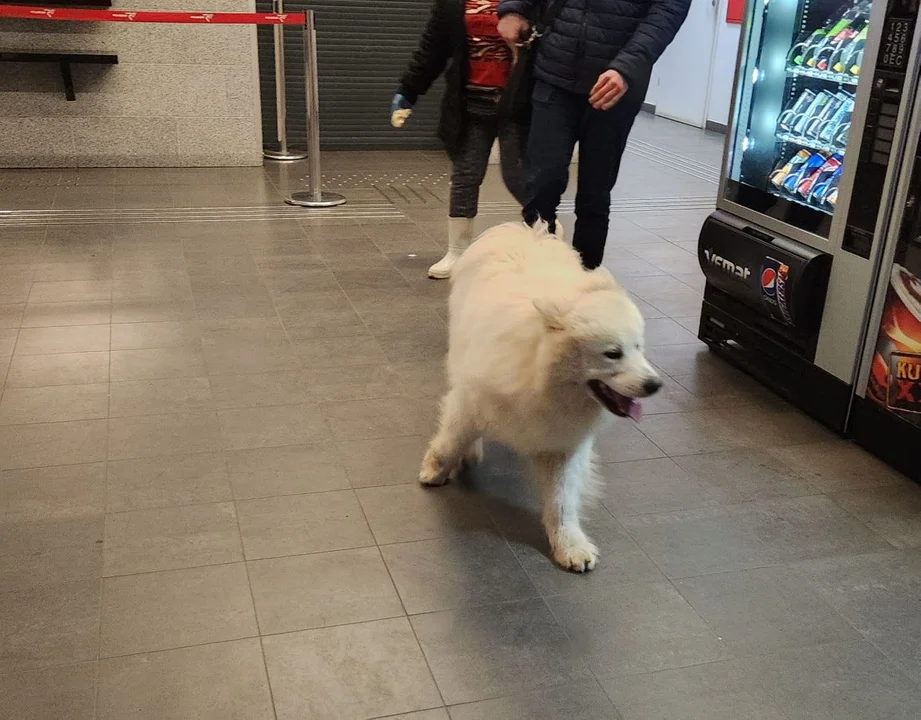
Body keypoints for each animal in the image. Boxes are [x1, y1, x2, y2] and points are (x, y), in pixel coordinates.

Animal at [416, 222, 660, 572]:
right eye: (613, 354)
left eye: (639, 347)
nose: (655, 385)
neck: (541, 378)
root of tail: (529, 231)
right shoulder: (471, 403)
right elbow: (450, 440)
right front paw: (433, 472)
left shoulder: (562, 442)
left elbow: (562, 501)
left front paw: (569, 546)